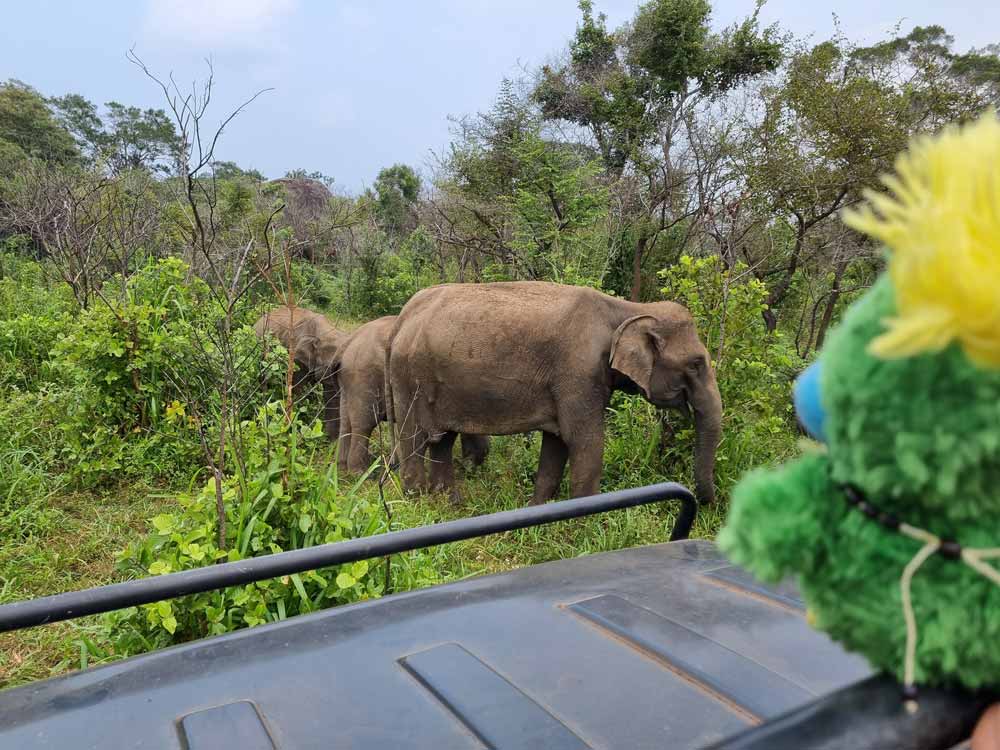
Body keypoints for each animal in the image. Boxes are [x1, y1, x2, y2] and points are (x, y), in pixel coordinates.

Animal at [335, 315, 489, 474]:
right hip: (363, 375)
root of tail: (350, 341)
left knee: (346, 421)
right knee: (364, 423)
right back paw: (360, 473)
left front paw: (470, 465)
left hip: (349, 378)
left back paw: (342, 470)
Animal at [386, 281, 722, 505]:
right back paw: (417, 501)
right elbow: (585, 441)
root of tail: (402, 316)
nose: (707, 502)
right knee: (414, 437)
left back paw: (449, 504)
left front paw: (538, 510)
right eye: (695, 364)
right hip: (408, 378)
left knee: (442, 438)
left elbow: (557, 442)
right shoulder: (578, 372)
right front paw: (587, 524)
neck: (630, 309)